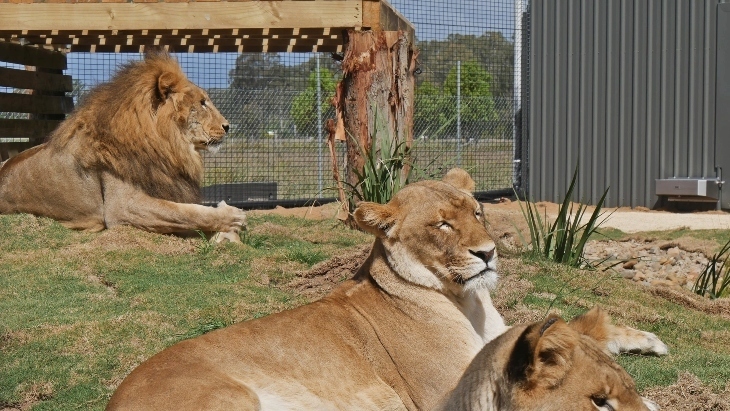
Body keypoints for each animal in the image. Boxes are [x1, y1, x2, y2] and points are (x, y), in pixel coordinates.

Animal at [0, 50, 246, 238]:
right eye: (203, 103)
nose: (228, 126)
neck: (165, 147)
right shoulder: (123, 207)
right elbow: (185, 213)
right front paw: (232, 217)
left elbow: (186, 211)